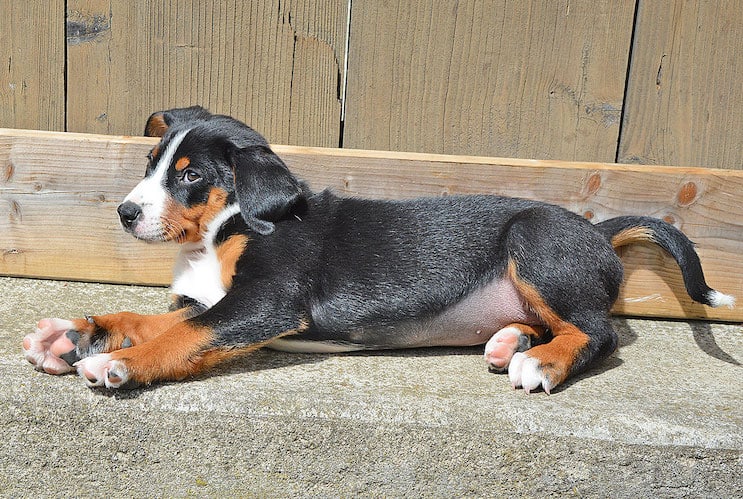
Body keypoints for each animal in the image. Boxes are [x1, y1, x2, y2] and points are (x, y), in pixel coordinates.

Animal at [20, 106, 736, 394]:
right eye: (151, 164)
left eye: (191, 176)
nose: (125, 213)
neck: (224, 231)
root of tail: (595, 230)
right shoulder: (219, 301)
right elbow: (151, 320)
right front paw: (72, 334)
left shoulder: (264, 304)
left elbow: (181, 336)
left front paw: (118, 365)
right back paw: (511, 343)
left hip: (534, 241)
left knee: (598, 331)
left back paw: (541, 363)